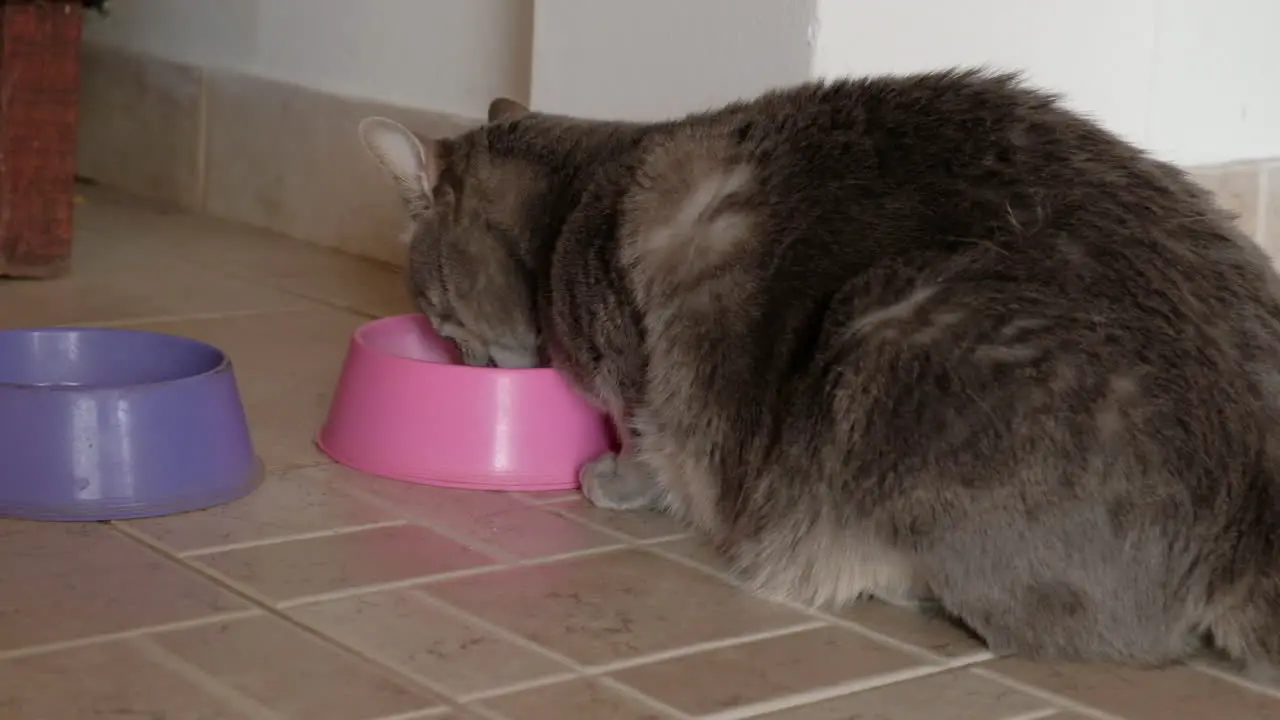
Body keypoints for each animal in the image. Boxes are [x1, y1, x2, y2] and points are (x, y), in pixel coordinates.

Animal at [355, 70, 1280, 671]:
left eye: (439, 315)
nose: (466, 360)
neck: (574, 199)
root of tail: (1251, 515)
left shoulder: (645, 374)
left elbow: (646, 439)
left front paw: (609, 478)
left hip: (888, 333)